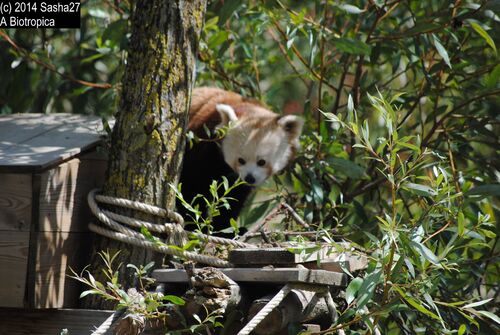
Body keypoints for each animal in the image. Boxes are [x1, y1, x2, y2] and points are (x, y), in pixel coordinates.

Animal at [180, 87, 304, 236]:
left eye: (261, 162)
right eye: (241, 160)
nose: (249, 178)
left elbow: (233, 198)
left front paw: (226, 230)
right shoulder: (201, 143)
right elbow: (190, 188)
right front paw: (195, 225)